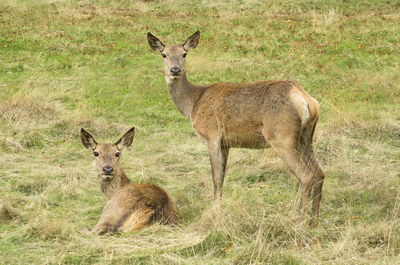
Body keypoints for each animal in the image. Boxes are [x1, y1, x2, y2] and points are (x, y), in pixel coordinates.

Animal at [147, 31, 324, 225]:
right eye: (164, 54)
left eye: (184, 54)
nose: (175, 70)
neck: (193, 104)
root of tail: (306, 100)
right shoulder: (226, 143)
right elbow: (222, 179)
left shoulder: (212, 136)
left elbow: (216, 179)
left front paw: (215, 214)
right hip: (305, 138)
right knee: (319, 174)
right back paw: (314, 222)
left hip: (281, 136)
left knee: (307, 176)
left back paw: (299, 222)